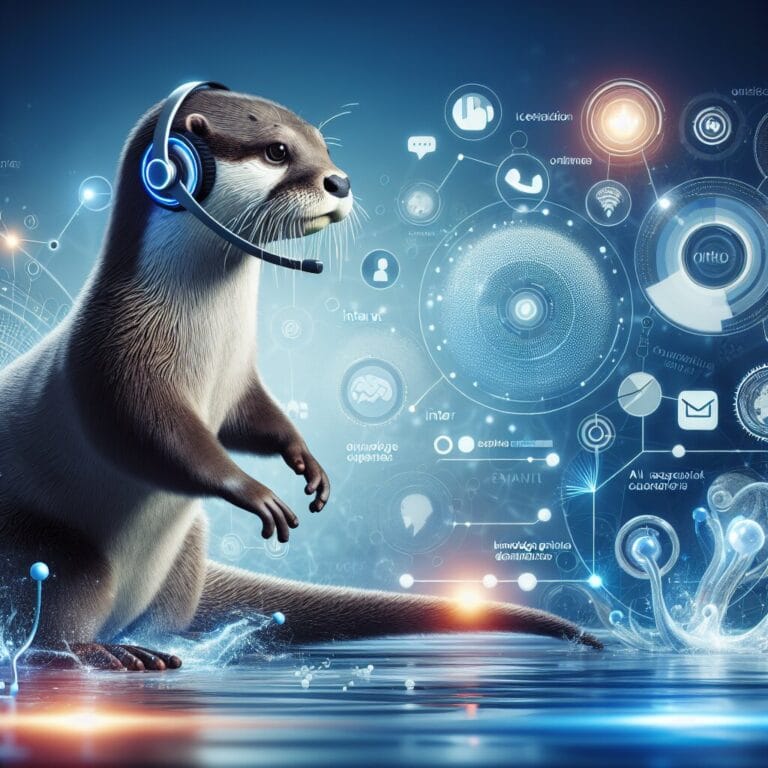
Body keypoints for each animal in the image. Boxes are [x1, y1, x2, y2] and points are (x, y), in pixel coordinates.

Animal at [0, 85, 601, 672]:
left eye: (323, 145)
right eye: (277, 151)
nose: (341, 180)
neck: (208, 342)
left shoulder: (240, 374)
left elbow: (250, 417)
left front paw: (304, 459)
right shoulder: (114, 352)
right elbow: (148, 434)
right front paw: (254, 491)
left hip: (186, 551)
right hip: (61, 553)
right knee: (53, 614)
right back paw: (104, 651)